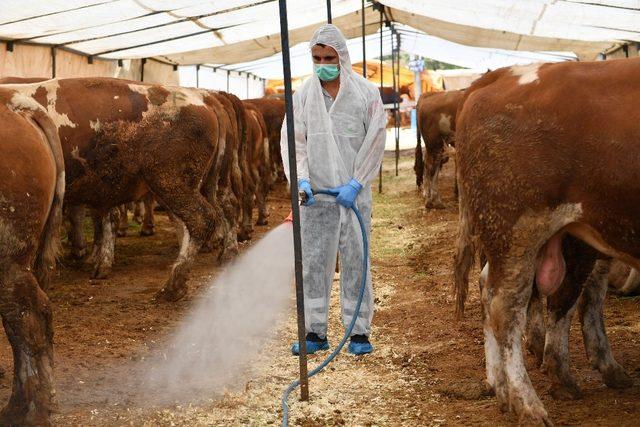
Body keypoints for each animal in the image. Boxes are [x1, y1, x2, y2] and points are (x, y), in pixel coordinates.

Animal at [452, 57, 640, 424]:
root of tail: (504, 74)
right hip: (517, 231)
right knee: (506, 308)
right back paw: (528, 405)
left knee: (493, 290)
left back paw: (502, 389)